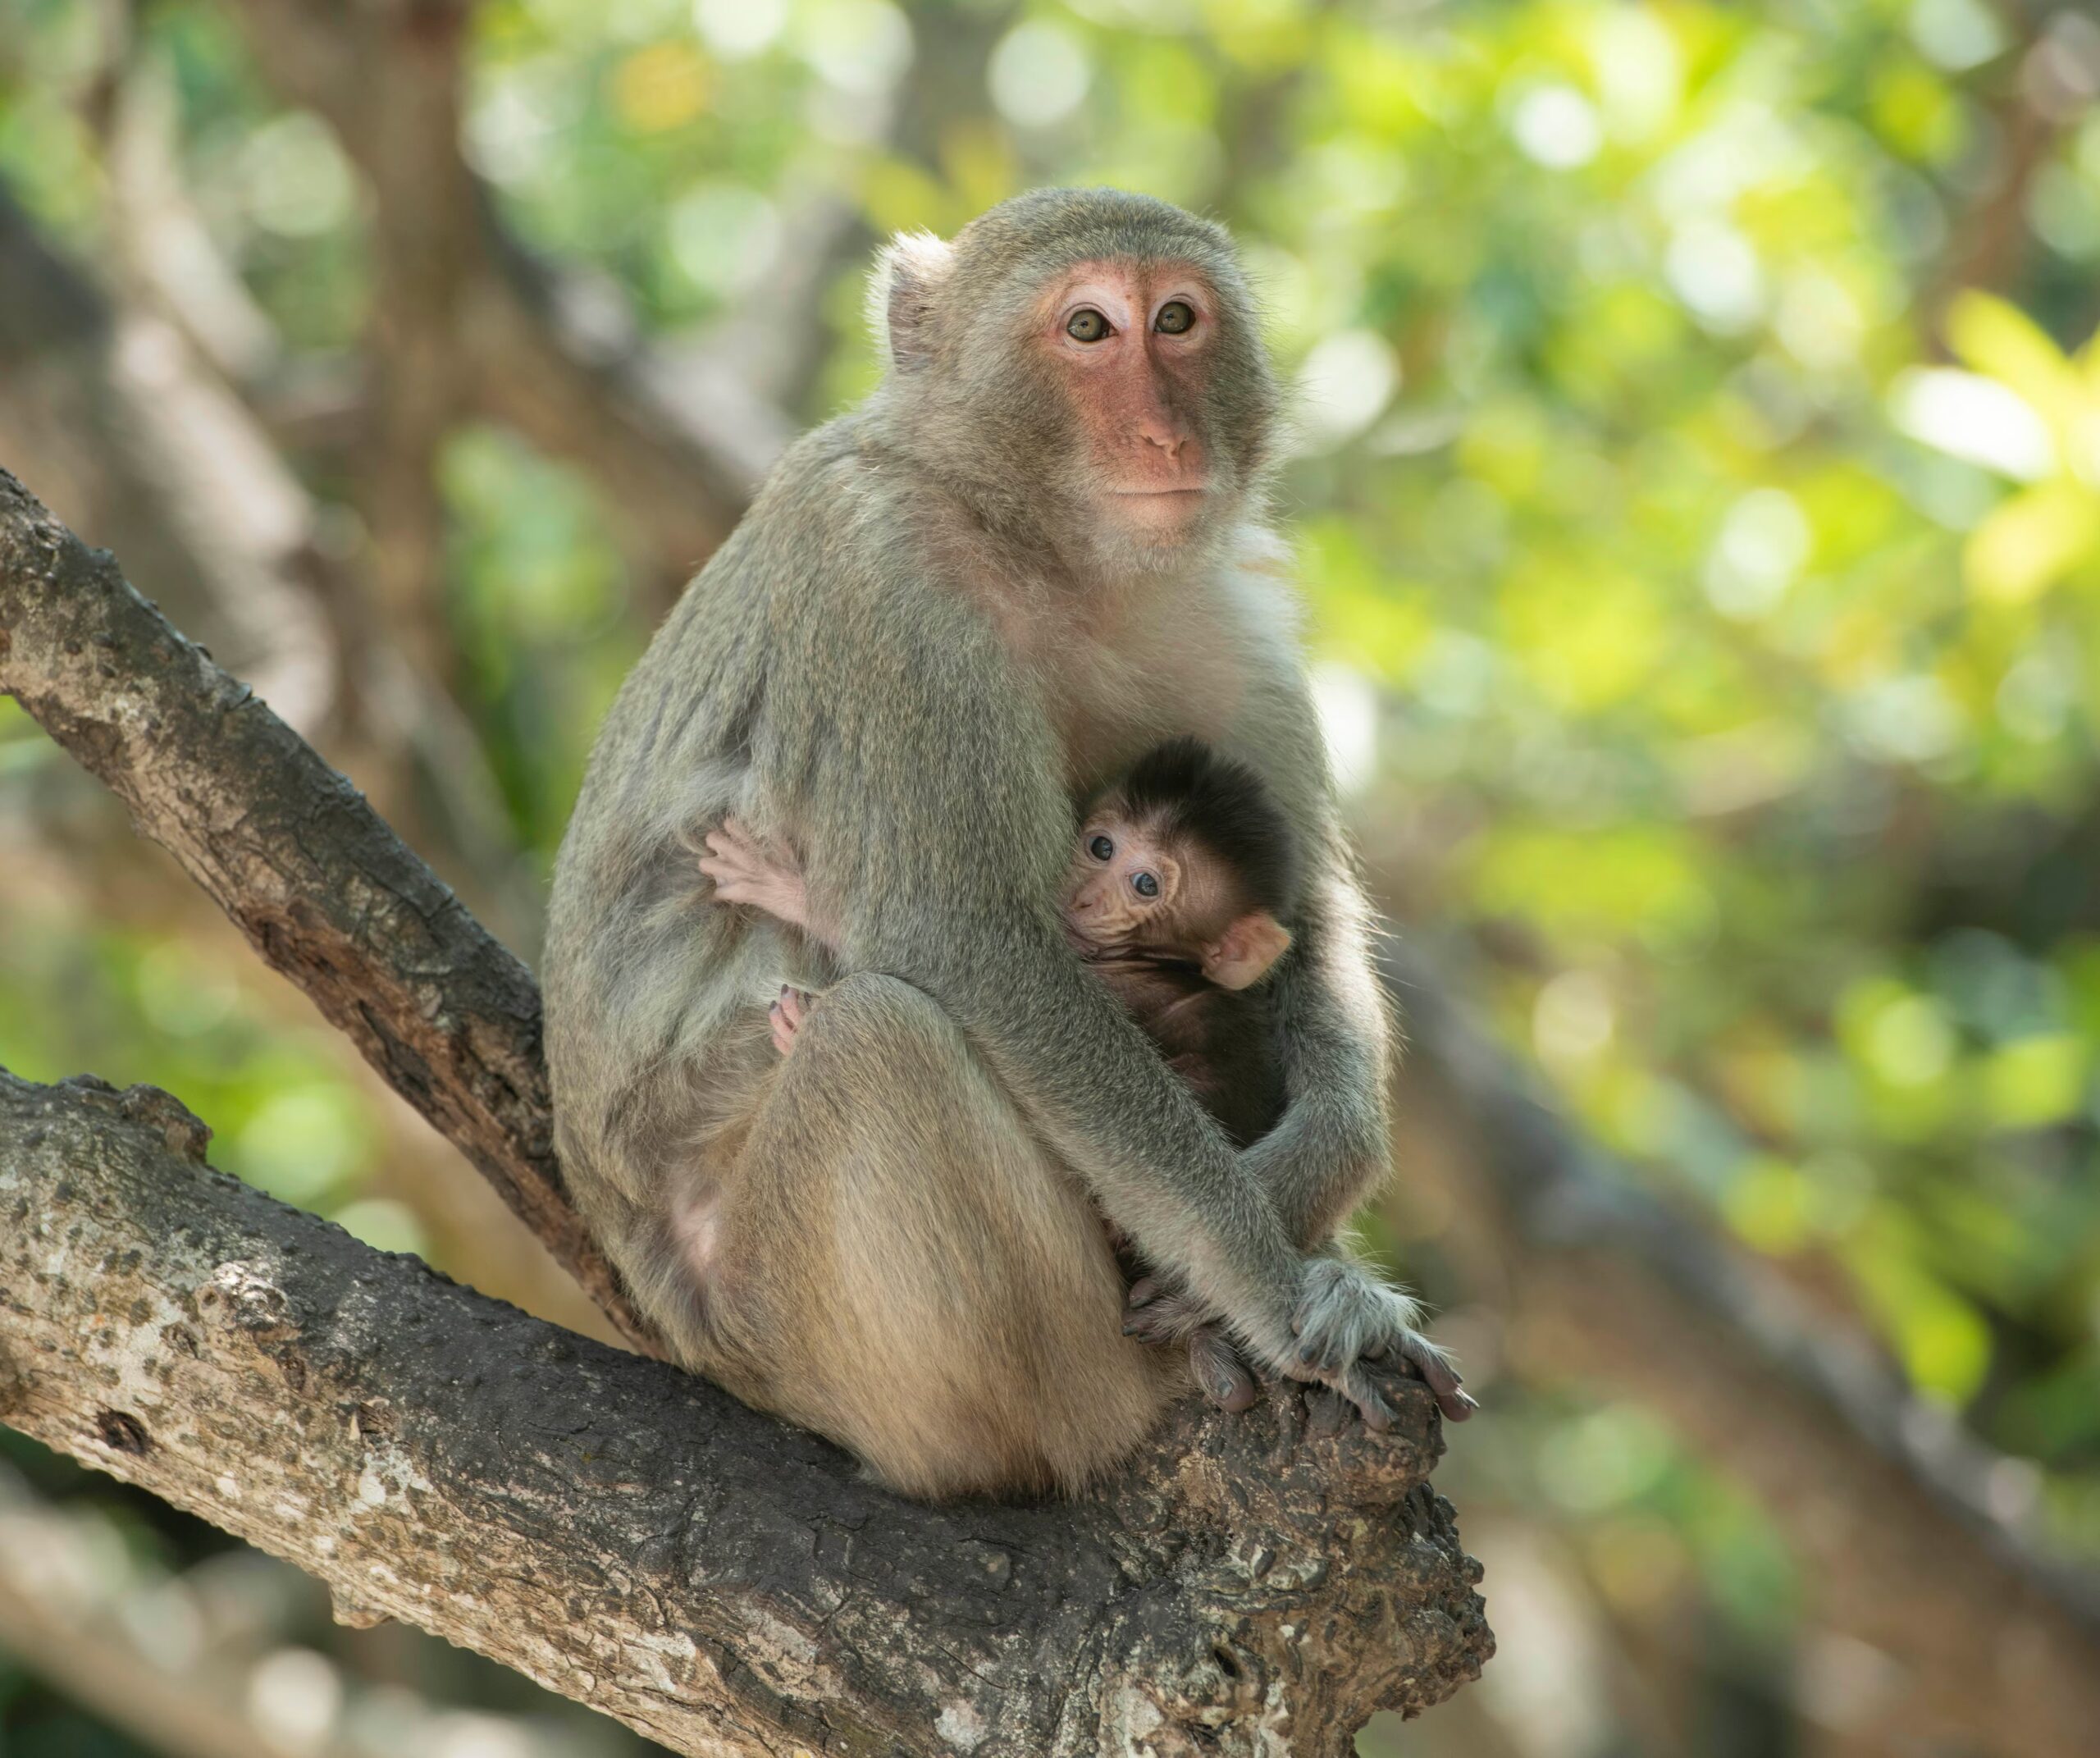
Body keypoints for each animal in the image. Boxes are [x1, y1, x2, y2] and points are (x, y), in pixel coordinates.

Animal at [696, 739, 1302, 1411]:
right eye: (1102, 847)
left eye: (1146, 884)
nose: (1084, 895)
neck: (1153, 962)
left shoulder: (1126, 983)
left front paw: (792, 903)